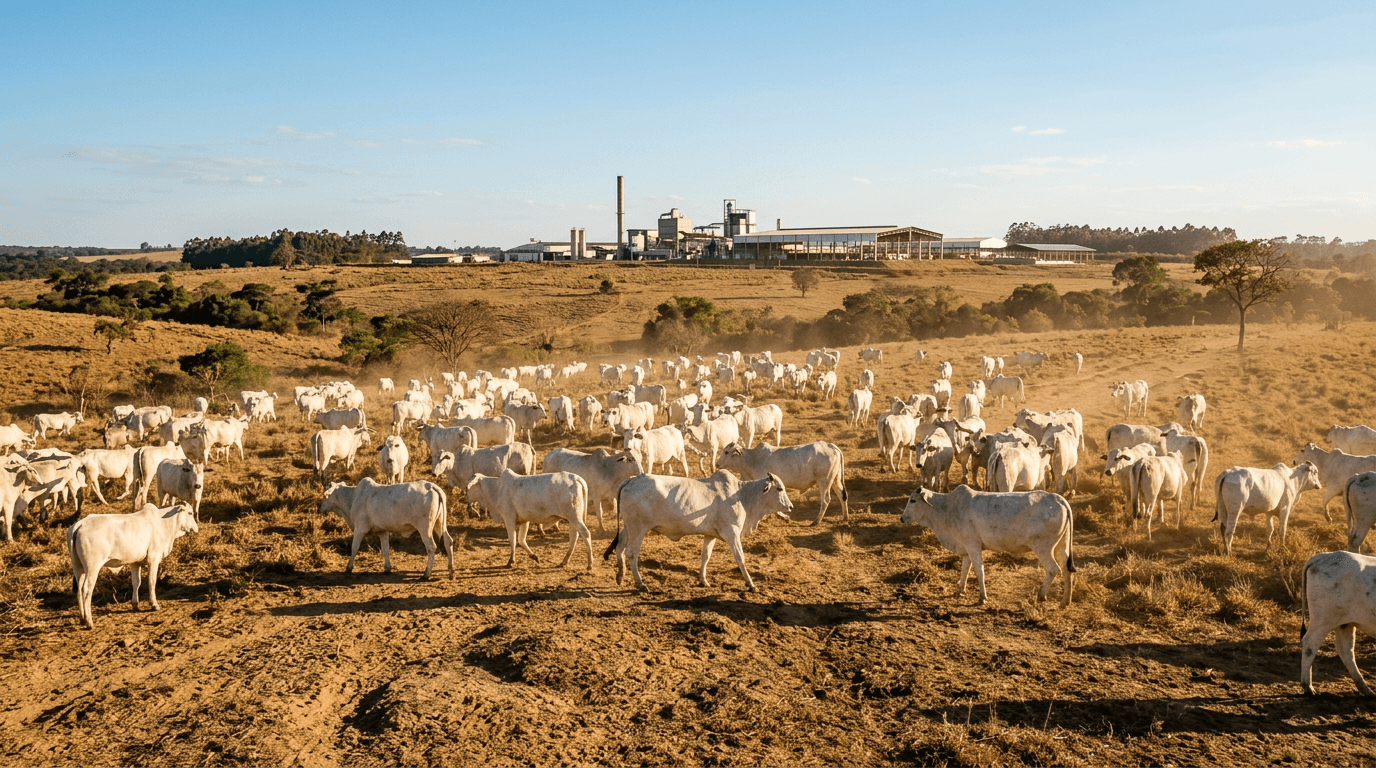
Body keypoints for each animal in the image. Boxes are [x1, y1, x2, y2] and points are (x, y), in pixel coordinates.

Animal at [67, 502, 199, 628]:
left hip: (78, 567)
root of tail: (80, 525)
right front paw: (154, 604)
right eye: (190, 513)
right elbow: (152, 581)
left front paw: (135, 604)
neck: (163, 523)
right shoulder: (153, 558)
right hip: (92, 567)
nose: (196, 528)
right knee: (86, 589)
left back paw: (82, 619)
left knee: (79, 590)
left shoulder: (135, 563)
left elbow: (136, 582)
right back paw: (89, 621)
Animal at [319, 479, 453, 580]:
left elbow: (354, 548)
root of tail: (432, 486)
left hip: (424, 527)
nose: (319, 508)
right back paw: (451, 571)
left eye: (325, 494)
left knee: (431, 547)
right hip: (439, 523)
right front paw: (387, 568)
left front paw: (348, 568)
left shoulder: (359, 529)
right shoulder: (383, 531)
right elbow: (385, 549)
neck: (352, 498)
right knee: (448, 541)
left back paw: (426, 574)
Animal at [605, 471, 792, 591]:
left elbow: (705, 556)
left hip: (628, 527)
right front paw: (751, 584)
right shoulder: (732, 534)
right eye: (779, 488)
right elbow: (740, 558)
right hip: (638, 528)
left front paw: (703, 580)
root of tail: (631, 480)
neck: (742, 496)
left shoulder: (710, 535)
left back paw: (620, 576)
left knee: (620, 547)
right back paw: (640, 583)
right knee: (631, 553)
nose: (790, 506)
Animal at [901, 486, 1075, 607]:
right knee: (1066, 569)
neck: (948, 508)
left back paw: (1041, 595)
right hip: (1061, 546)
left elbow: (979, 570)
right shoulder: (966, 547)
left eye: (913, 500)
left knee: (1053, 569)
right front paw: (960, 589)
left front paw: (982, 597)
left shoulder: (973, 545)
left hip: (1042, 547)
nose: (902, 518)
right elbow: (965, 569)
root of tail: (1058, 499)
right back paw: (1065, 602)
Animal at [1300, 550, 1376, 695]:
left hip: (1345, 623)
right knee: (1309, 644)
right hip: (1323, 620)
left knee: (1346, 651)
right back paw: (1308, 687)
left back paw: (1365, 689)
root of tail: (1323, 556)